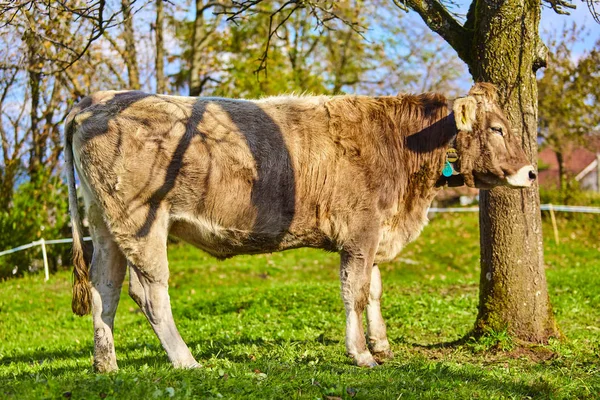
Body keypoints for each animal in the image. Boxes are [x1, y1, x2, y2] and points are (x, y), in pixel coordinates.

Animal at [64, 83, 536, 374]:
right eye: (498, 128)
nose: (531, 172)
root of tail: (96, 98)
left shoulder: (375, 233)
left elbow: (375, 289)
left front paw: (381, 344)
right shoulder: (360, 231)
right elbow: (355, 291)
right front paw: (361, 354)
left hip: (104, 223)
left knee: (104, 288)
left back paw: (106, 364)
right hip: (141, 220)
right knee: (148, 291)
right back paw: (186, 360)